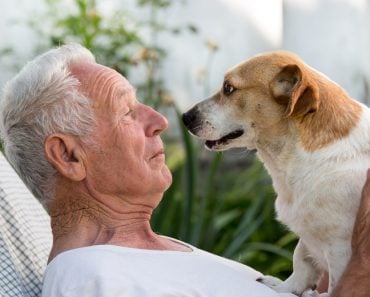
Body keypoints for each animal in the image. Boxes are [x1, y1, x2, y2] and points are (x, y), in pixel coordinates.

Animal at [181, 50, 370, 294]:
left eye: (229, 88)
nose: (185, 117)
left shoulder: (341, 248)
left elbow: (333, 283)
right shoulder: (307, 239)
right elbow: (301, 262)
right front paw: (284, 288)